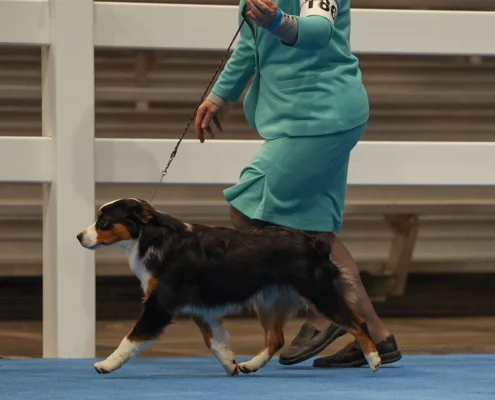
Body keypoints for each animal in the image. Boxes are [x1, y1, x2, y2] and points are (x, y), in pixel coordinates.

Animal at [76, 198, 384, 376]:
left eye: (103, 222)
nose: (79, 236)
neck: (153, 237)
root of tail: (314, 243)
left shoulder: (160, 304)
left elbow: (130, 338)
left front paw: (106, 364)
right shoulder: (200, 308)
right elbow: (214, 341)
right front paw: (230, 364)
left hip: (320, 293)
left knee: (357, 322)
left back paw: (374, 359)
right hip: (269, 302)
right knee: (276, 339)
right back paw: (250, 365)